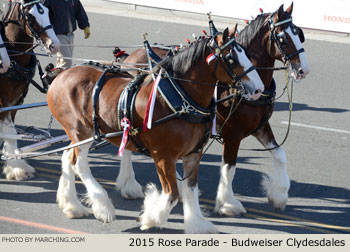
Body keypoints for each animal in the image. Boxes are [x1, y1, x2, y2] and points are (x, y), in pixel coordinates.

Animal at [0, 0, 59, 181]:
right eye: (30, 16)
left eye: (48, 11)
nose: (55, 45)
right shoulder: (3, 102)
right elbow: (10, 131)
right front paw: (17, 168)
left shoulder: (16, 101)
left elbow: (11, 133)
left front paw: (13, 162)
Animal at [47, 26, 264, 233]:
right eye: (231, 58)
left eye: (246, 53)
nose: (259, 89)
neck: (180, 99)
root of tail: (62, 74)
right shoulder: (163, 156)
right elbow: (172, 194)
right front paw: (149, 217)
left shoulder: (193, 154)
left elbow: (190, 189)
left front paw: (196, 224)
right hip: (81, 131)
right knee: (79, 164)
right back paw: (103, 206)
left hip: (79, 135)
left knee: (67, 157)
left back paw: (72, 205)